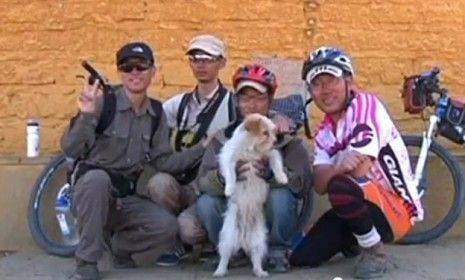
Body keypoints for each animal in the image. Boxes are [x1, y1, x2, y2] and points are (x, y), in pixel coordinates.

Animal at [213, 114, 286, 278]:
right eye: (265, 133)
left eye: (274, 132)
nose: (275, 142)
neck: (252, 149)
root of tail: (243, 238)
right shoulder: (229, 158)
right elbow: (230, 174)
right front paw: (229, 188)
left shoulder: (270, 154)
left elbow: (276, 163)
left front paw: (281, 177)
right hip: (227, 238)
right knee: (224, 256)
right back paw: (220, 270)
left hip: (259, 241)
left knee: (256, 258)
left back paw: (260, 271)